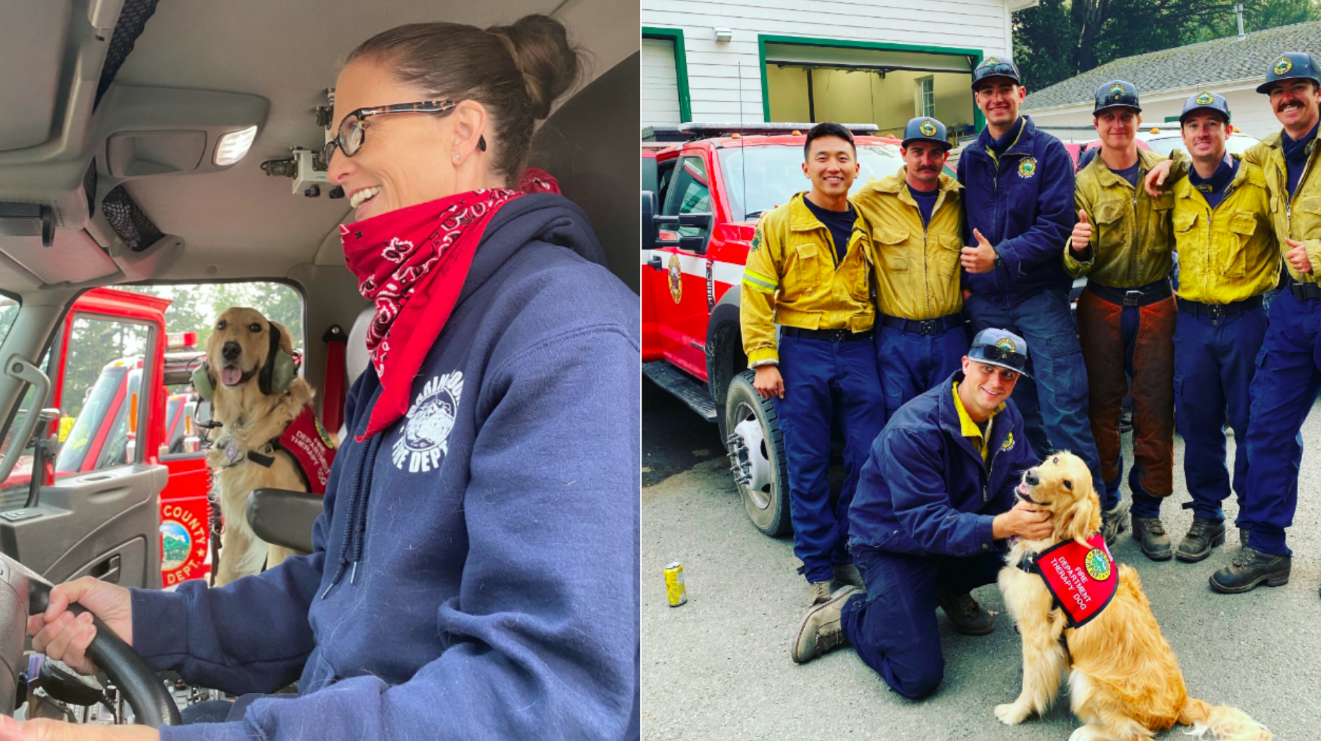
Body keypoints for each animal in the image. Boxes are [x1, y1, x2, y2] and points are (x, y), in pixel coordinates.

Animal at [195, 306, 324, 583]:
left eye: (255, 327)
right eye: (222, 325)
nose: (230, 349)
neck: (245, 418)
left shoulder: (278, 526)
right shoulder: (236, 524)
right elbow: (225, 572)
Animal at [993, 451, 1262, 739]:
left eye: (1067, 484)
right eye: (1055, 461)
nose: (1031, 476)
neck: (1057, 538)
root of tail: (1180, 705)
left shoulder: (1038, 634)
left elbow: (1032, 683)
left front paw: (1015, 712)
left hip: (1085, 680)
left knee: (1132, 732)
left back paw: (1087, 732)